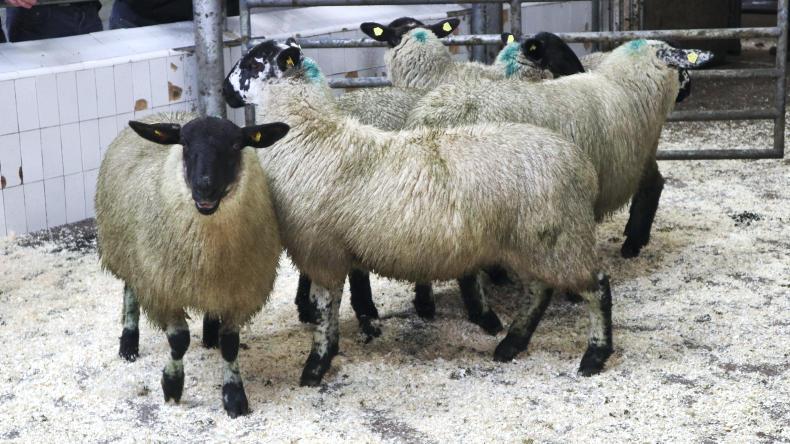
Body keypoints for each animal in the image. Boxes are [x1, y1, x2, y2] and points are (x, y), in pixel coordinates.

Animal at [96, 112, 289, 417]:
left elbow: (230, 345)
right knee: (130, 290)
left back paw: (210, 335)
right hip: (128, 253)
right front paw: (172, 385)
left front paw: (234, 396)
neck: (208, 248)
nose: (205, 187)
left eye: (236, 145)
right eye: (184, 143)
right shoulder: (164, 288)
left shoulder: (239, 292)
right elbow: (179, 341)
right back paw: (128, 343)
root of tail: (161, 116)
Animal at [223, 39, 615, 387]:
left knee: (597, 287)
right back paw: (512, 344)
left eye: (254, 62)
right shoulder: (331, 251)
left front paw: (316, 365)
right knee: (539, 290)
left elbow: (323, 310)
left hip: (557, 236)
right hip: (535, 239)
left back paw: (594, 355)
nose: (225, 90)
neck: (310, 133)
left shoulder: (321, 250)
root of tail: (580, 164)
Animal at [405, 39, 713, 259]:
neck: (624, 85)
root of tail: (430, 116)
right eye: (683, 67)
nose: (689, 90)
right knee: (653, 184)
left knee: (653, 185)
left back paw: (633, 241)